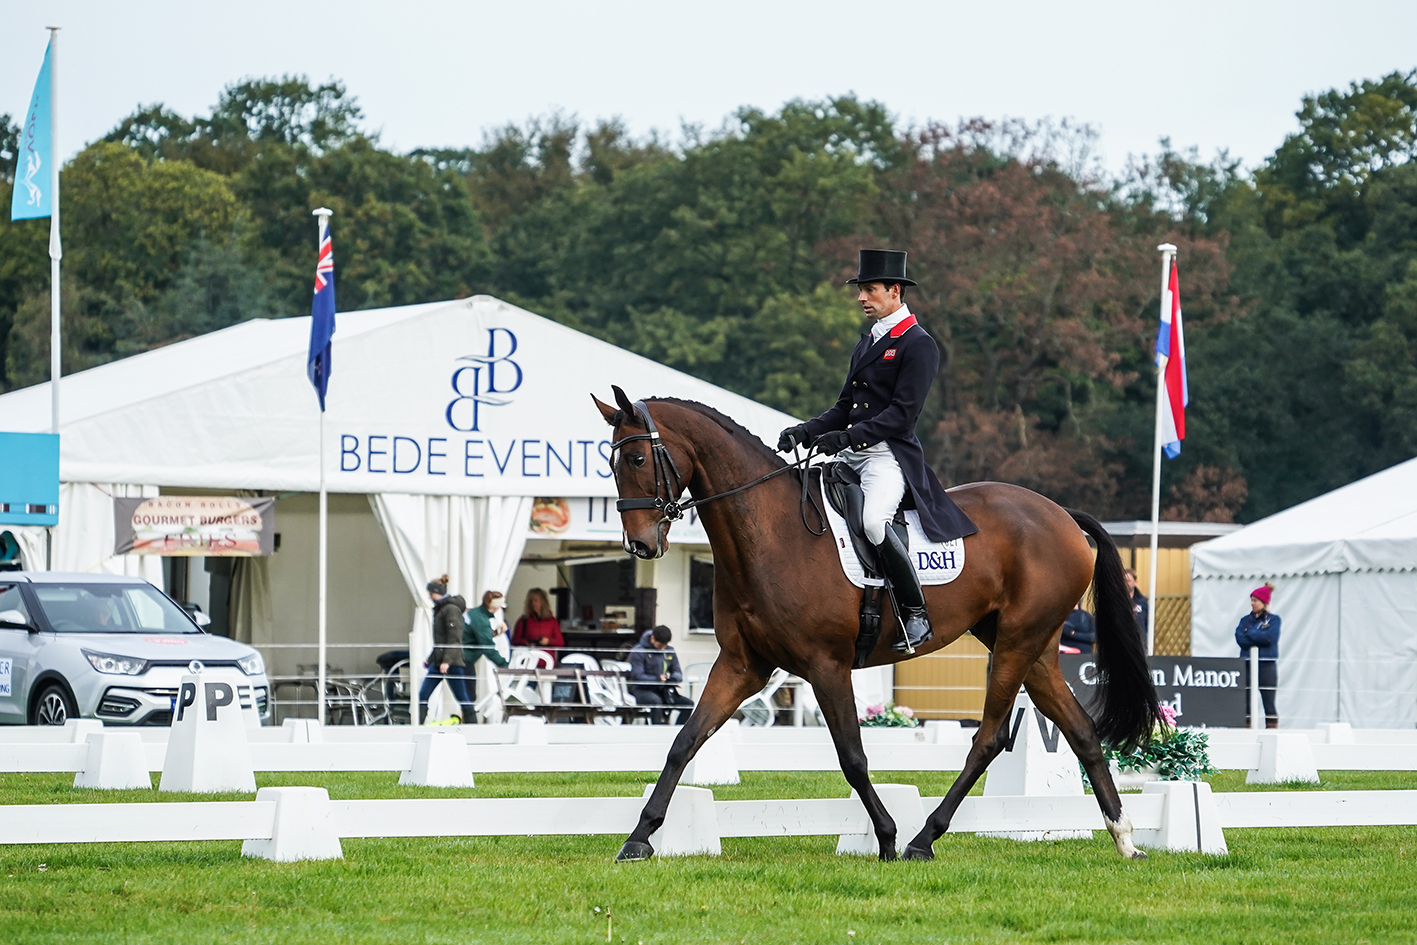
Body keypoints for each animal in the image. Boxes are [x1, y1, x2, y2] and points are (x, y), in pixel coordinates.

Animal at [592, 388, 1156, 861]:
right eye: (612, 462)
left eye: (637, 459)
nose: (639, 545)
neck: (769, 532)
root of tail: (1061, 515)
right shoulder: (742, 665)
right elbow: (684, 741)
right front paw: (639, 838)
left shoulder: (826, 666)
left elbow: (852, 757)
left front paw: (884, 837)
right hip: (1031, 646)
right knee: (1080, 731)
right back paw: (1125, 839)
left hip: (1017, 643)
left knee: (989, 738)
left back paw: (922, 839)